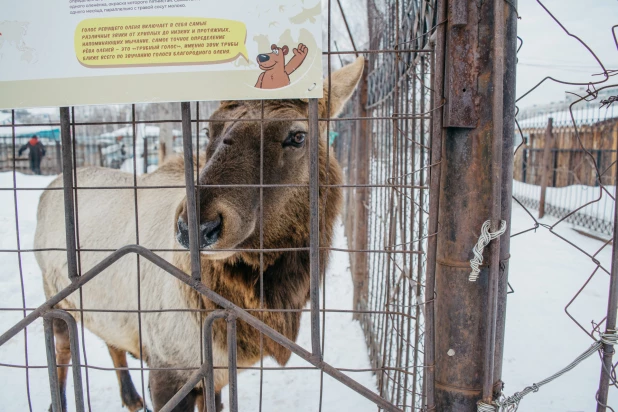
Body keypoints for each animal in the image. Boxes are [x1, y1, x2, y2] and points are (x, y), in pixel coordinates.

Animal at [33, 55, 364, 412]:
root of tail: (50, 188)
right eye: (209, 129)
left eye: (298, 136)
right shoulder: (169, 367)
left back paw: (131, 398)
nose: (196, 227)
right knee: (63, 348)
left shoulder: (214, 374)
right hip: (56, 297)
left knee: (112, 342)